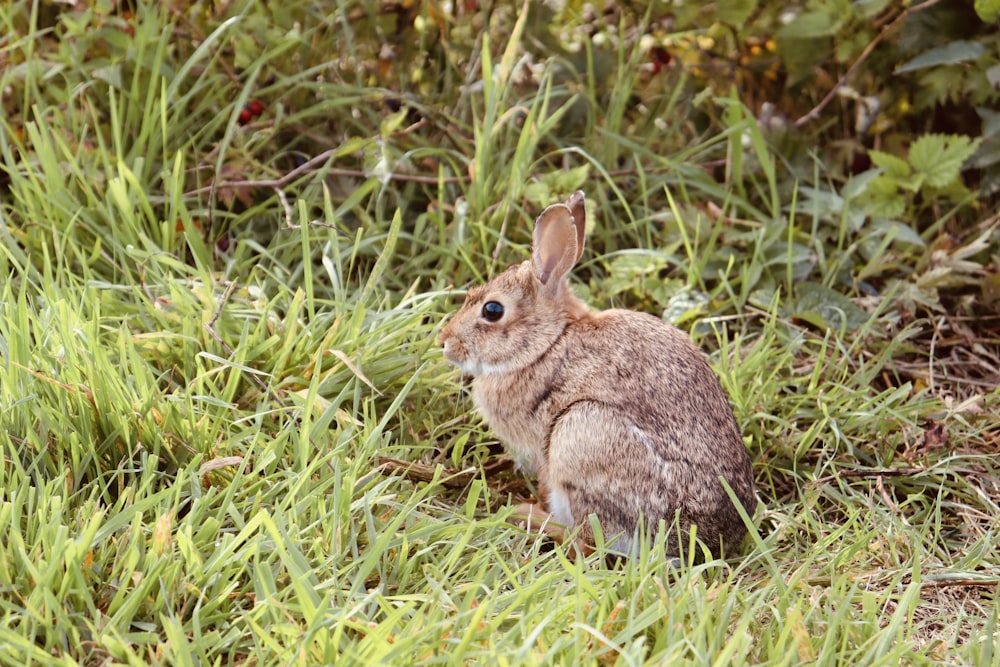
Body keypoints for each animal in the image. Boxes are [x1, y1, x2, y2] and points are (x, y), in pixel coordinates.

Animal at [440, 193, 756, 560]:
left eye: (492, 310)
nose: (445, 342)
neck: (548, 342)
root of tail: (697, 541)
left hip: (580, 434)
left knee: (586, 544)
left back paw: (528, 517)